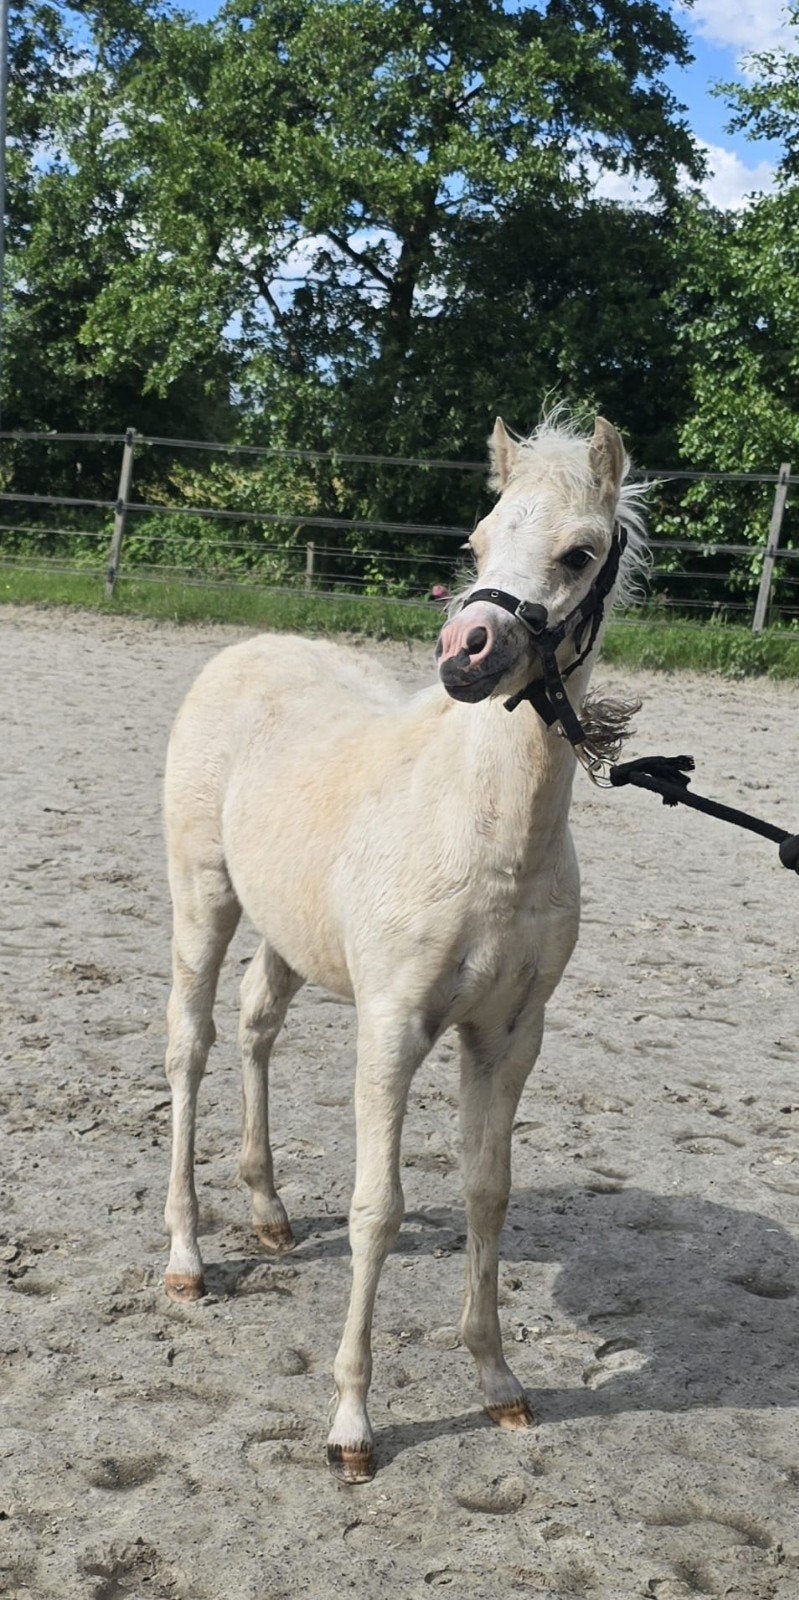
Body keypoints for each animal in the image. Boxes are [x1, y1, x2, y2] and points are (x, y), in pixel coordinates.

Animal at [161, 412, 646, 1482]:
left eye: (579, 553)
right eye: (476, 539)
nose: (465, 652)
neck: (486, 831)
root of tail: (246, 651)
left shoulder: (508, 1035)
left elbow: (485, 1192)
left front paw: (498, 1383)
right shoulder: (391, 1025)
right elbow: (375, 1209)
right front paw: (350, 1426)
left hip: (289, 928)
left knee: (256, 1025)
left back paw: (266, 1213)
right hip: (203, 899)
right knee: (191, 1046)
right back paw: (185, 1259)